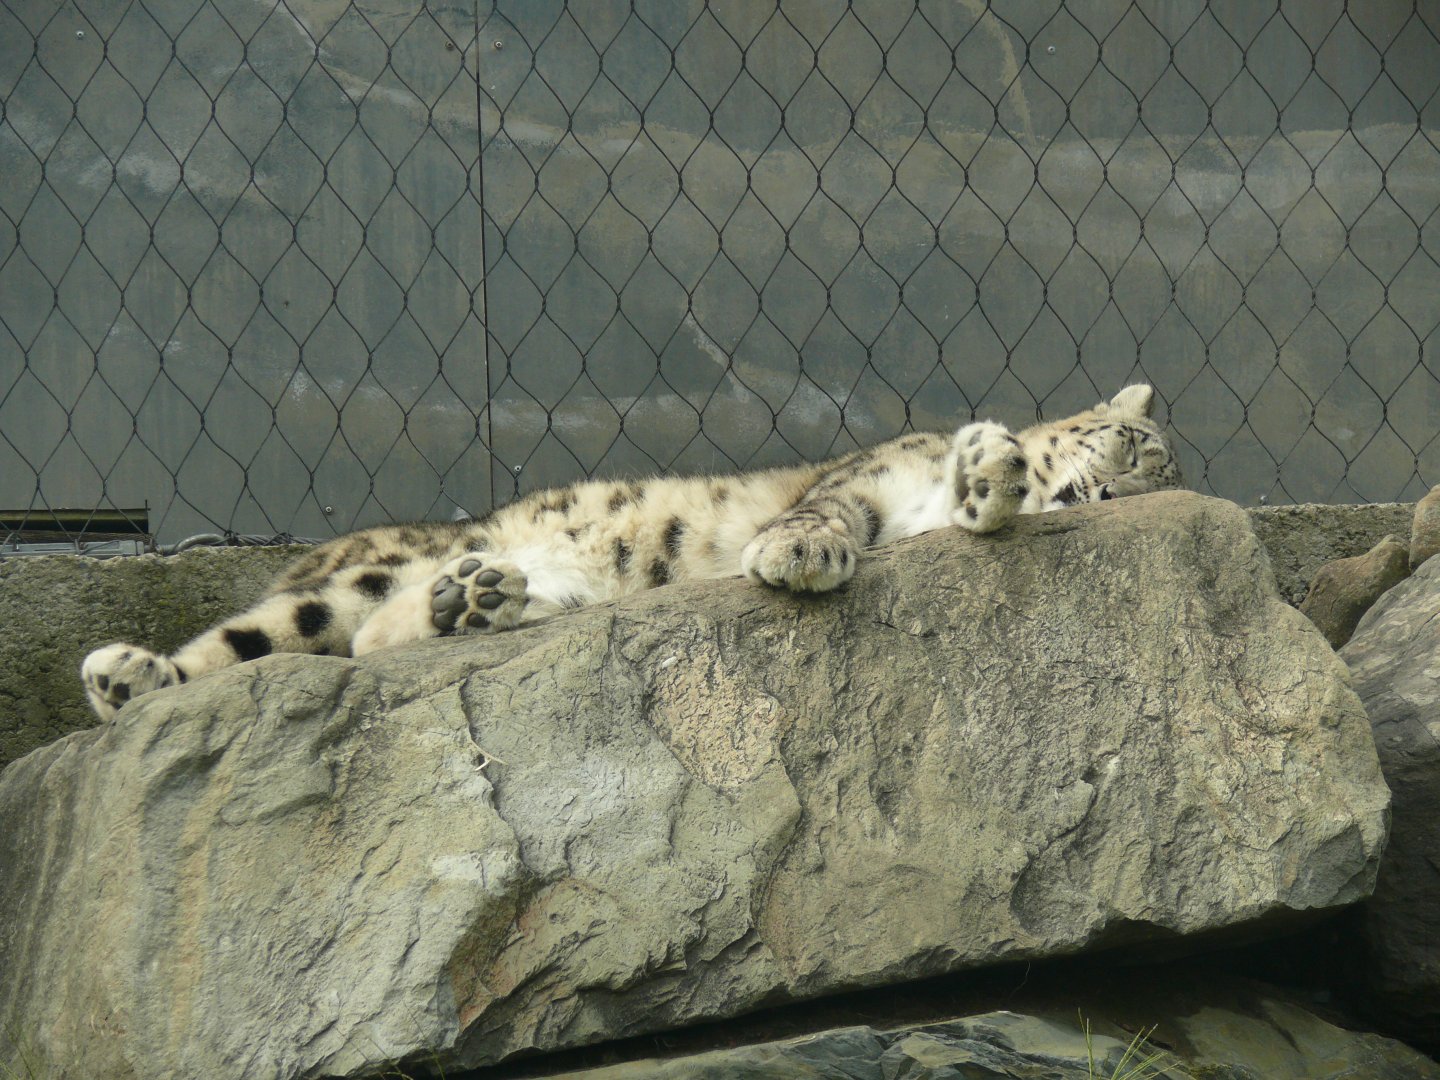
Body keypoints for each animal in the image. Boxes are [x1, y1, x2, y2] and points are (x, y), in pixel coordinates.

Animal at [81, 384, 1181, 721]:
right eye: (1137, 447)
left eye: (1160, 473)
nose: (1121, 495)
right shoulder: (865, 479)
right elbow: (828, 510)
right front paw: (803, 554)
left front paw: (991, 477)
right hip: (337, 582)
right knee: (266, 641)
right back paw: (125, 675)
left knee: (376, 641)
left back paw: (471, 600)